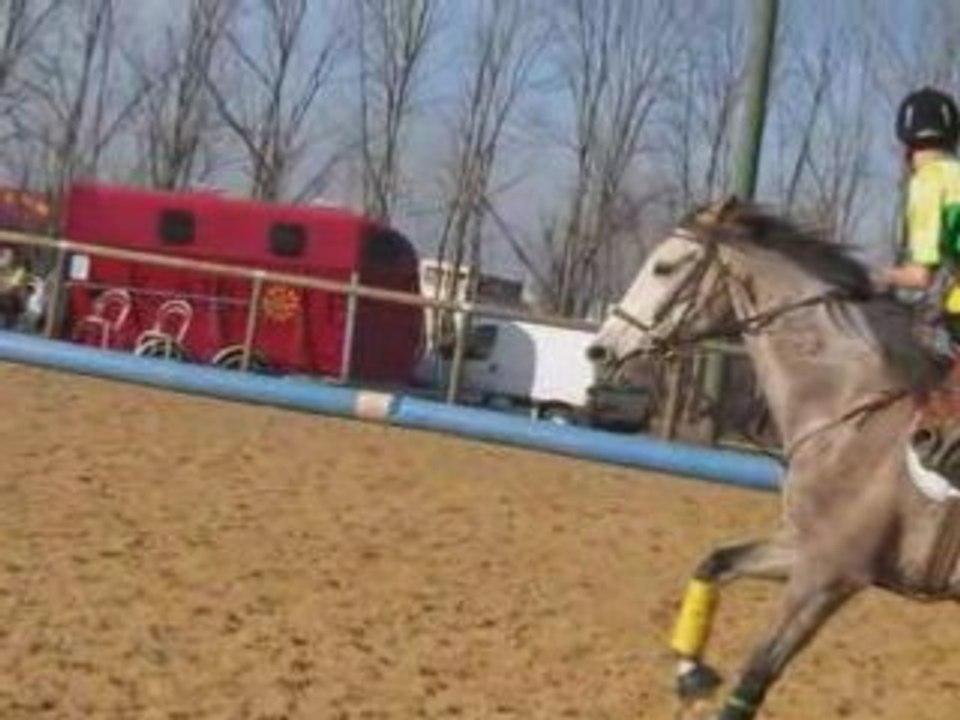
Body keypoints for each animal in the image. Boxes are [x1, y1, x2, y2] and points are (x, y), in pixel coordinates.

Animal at [587, 196, 960, 719]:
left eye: (664, 267)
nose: (600, 349)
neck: (844, 416)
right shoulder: (802, 548)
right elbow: (714, 563)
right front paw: (690, 672)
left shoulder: (829, 574)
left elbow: (755, 675)